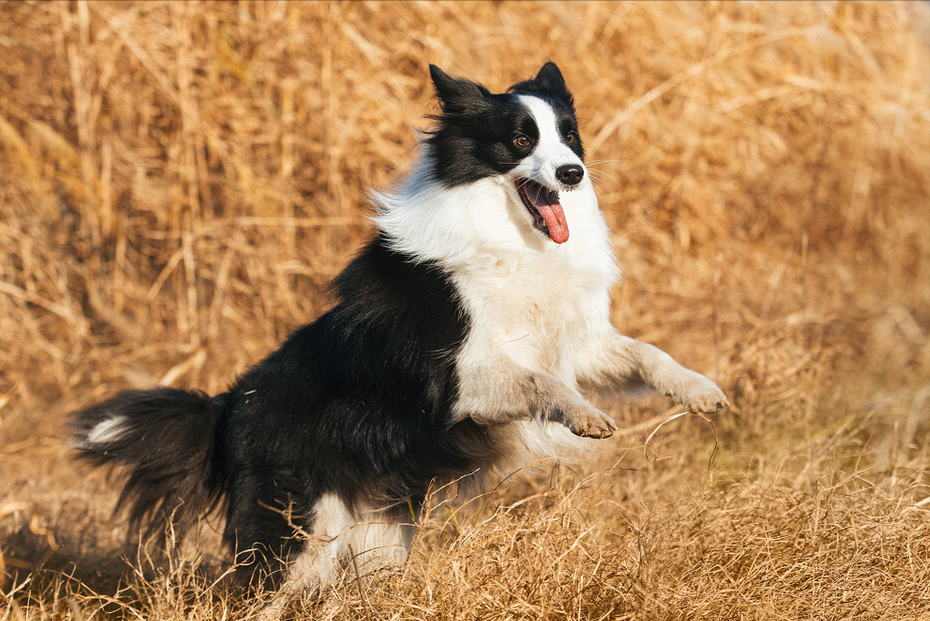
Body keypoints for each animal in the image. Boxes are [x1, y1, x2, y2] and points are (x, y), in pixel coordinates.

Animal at [70, 63, 724, 592]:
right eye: (520, 140)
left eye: (569, 134)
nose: (573, 173)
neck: (511, 235)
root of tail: (228, 404)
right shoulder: (460, 381)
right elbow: (542, 383)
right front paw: (586, 416)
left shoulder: (574, 343)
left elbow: (644, 353)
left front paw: (701, 392)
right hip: (299, 529)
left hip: (377, 530)